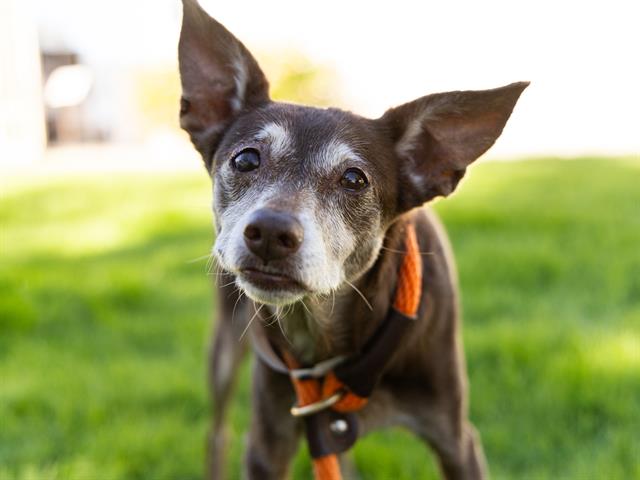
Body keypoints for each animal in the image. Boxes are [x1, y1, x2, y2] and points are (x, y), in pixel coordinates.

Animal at [178, 1, 528, 478]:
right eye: (246, 159)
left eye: (353, 179)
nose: (270, 233)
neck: (329, 338)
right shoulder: (269, 442)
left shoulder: (456, 439)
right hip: (225, 344)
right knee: (217, 432)